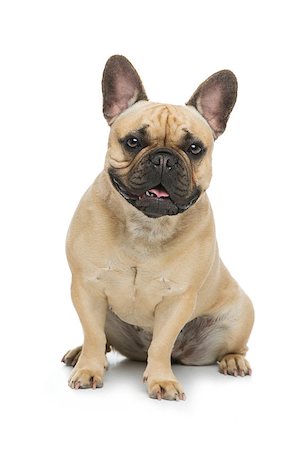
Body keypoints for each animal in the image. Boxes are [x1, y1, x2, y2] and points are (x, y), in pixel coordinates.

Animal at [62, 54, 254, 400]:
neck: (146, 225)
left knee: (233, 346)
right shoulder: (86, 288)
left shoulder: (178, 299)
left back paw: (233, 361)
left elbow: (162, 343)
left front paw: (161, 380)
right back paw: (79, 353)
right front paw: (88, 369)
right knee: (101, 338)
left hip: (240, 316)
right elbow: (94, 335)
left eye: (194, 148)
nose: (164, 158)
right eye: (133, 142)